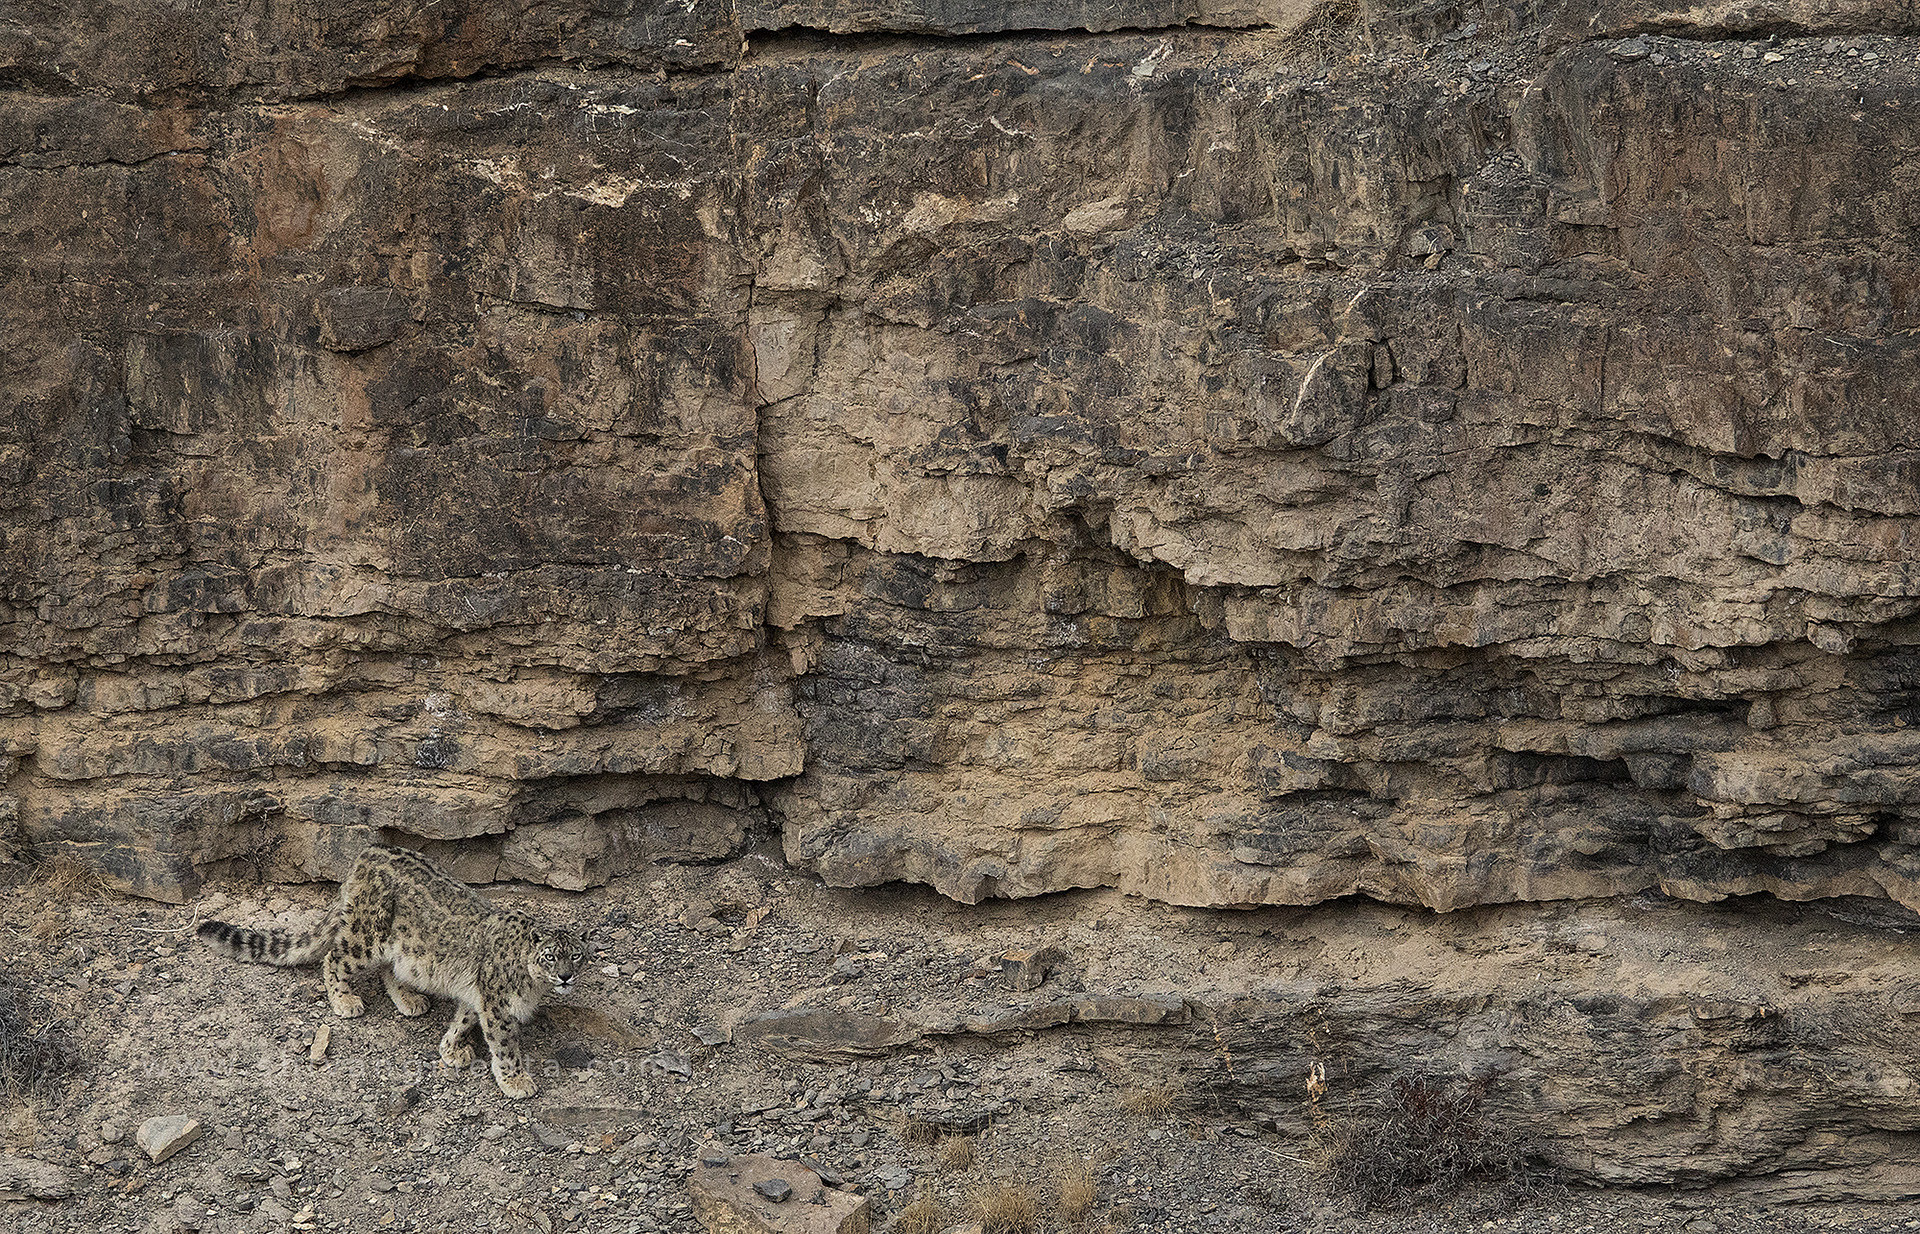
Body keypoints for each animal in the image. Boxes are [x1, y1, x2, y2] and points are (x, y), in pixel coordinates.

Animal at [196, 843, 589, 1100]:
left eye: (577, 955)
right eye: (550, 956)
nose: (566, 976)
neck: (533, 985)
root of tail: (367, 852)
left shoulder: (478, 995)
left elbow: (463, 1018)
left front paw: (451, 1049)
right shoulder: (497, 1005)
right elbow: (505, 1045)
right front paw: (517, 1081)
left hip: (402, 947)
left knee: (389, 970)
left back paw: (409, 999)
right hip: (365, 936)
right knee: (334, 957)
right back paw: (345, 1000)